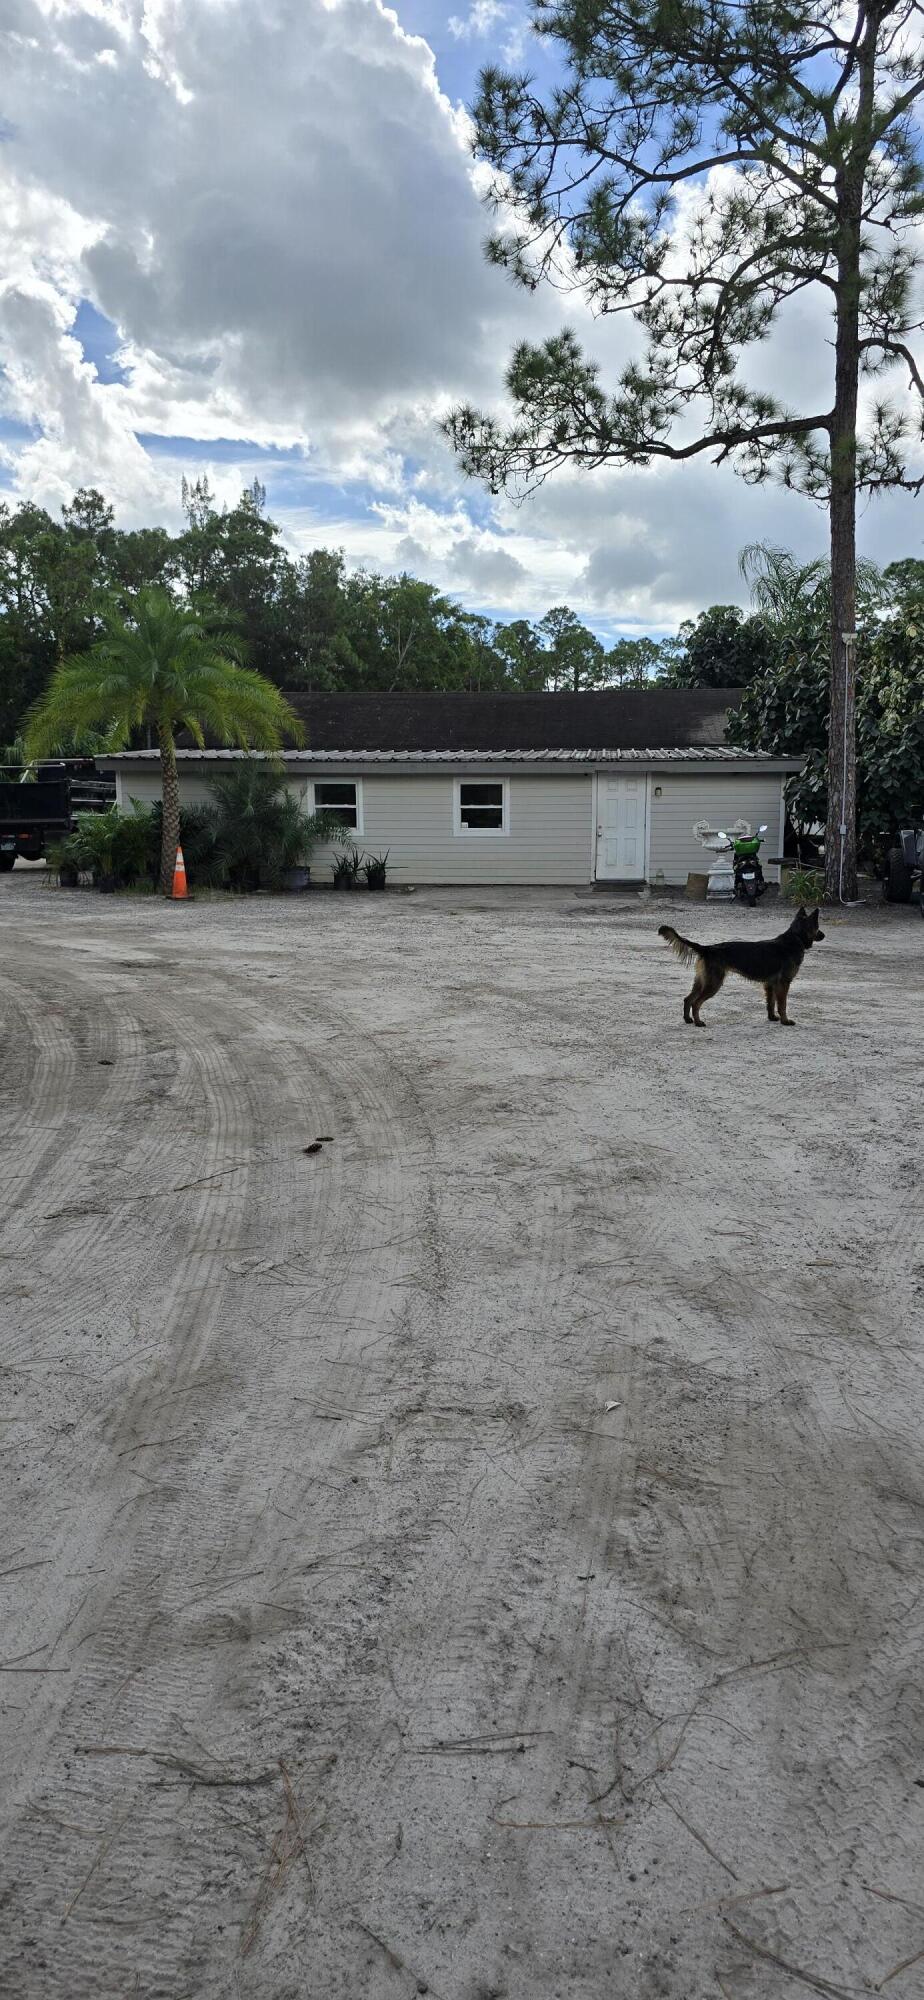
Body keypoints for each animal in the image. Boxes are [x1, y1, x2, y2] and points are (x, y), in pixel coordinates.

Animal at [660, 912, 828, 1032]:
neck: (794, 939)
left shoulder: (771, 984)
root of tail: (708, 948)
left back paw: (688, 1020)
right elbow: (782, 1004)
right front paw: (785, 1021)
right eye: (818, 926)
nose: (824, 935)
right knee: (696, 1002)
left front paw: (772, 1017)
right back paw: (698, 1022)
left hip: (702, 981)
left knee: (687, 999)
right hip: (713, 984)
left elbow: (771, 1002)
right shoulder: (784, 983)